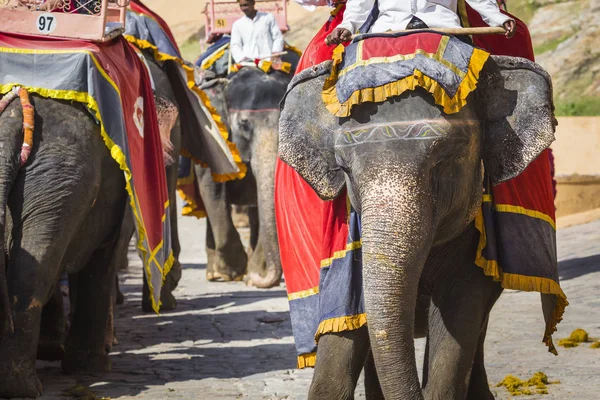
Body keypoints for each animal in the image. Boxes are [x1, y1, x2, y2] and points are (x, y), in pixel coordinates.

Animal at [0, 94, 130, 396]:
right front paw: (93, 368)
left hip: (53, 183)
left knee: (37, 265)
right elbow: (103, 258)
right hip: (62, 179)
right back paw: (25, 388)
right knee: (39, 270)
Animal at [196, 55, 298, 288]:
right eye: (244, 124)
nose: (259, 278)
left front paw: (253, 274)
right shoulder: (212, 136)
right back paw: (213, 273)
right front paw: (233, 271)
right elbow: (213, 189)